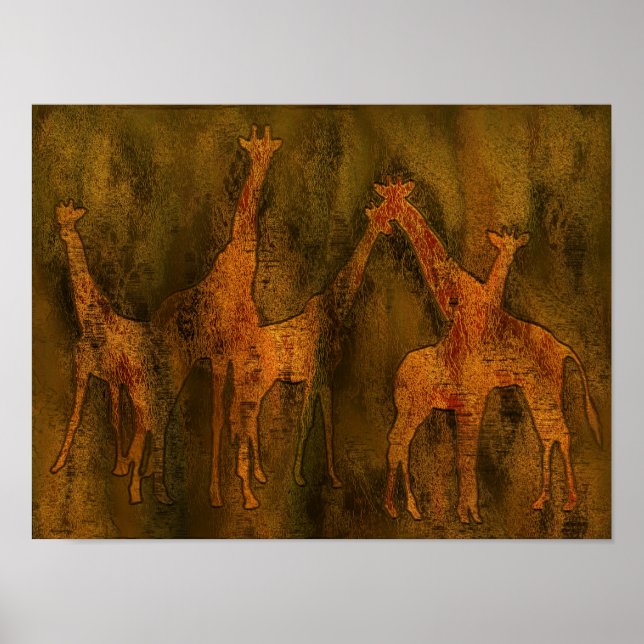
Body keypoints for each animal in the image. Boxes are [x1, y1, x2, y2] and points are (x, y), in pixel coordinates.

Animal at [50, 200, 172, 505]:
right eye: (61, 221)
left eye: (70, 222)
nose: (62, 234)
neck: (89, 316)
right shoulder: (108, 378)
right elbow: (114, 419)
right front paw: (119, 465)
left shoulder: (87, 370)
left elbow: (76, 417)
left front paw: (57, 465)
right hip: (147, 386)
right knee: (153, 422)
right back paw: (149, 480)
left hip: (143, 385)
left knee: (150, 422)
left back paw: (145, 489)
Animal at [151, 125, 281, 508]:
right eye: (252, 152)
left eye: (269, 151)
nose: (262, 167)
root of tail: (155, 316)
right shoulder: (221, 356)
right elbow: (219, 418)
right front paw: (218, 494)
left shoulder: (237, 355)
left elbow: (239, 416)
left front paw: (247, 484)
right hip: (176, 361)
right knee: (160, 410)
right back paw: (159, 490)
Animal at [223, 194, 396, 509]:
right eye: (380, 214)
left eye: (388, 215)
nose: (389, 230)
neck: (336, 307)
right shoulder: (314, 375)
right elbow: (306, 423)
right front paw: (299, 478)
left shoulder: (327, 377)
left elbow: (329, 424)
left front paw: (335, 478)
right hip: (253, 383)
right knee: (243, 421)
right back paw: (249, 494)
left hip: (259, 383)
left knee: (249, 421)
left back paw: (259, 476)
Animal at [372, 178, 601, 523]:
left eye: (391, 202)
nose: (375, 218)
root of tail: (564, 348)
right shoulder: (468, 397)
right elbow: (465, 453)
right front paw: (468, 512)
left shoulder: (471, 396)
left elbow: (466, 454)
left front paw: (468, 513)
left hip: (541, 390)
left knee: (556, 433)